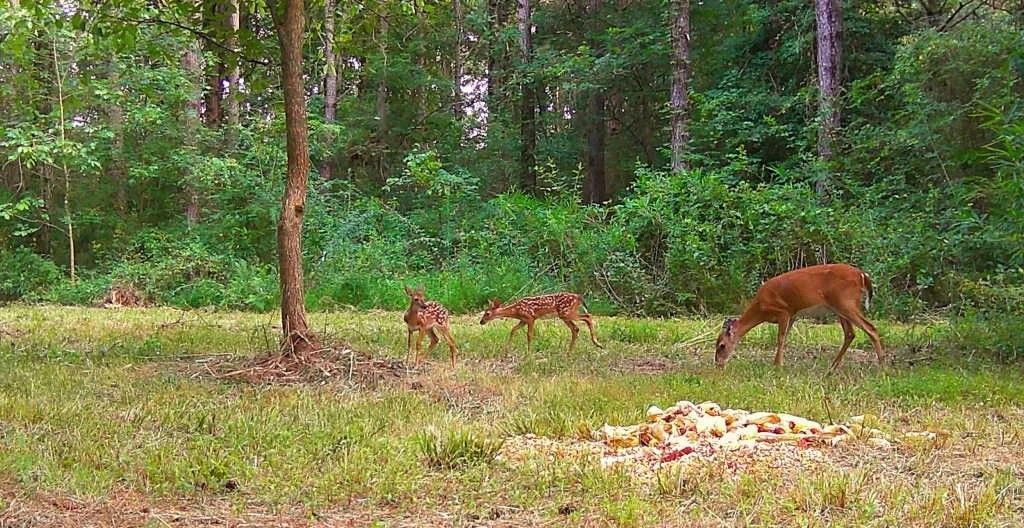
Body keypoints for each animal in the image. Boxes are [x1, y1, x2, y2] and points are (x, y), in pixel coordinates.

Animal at [714, 263, 885, 370]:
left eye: (721, 345)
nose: (718, 364)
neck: (761, 307)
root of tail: (862, 275)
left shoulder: (784, 311)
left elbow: (780, 338)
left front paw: (777, 365)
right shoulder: (793, 315)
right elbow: (785, 337)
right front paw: (778, 363)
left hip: (846, 303)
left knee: (870, 328)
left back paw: (882, 366)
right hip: (839, 308)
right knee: (850, 333)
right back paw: (832, 367)